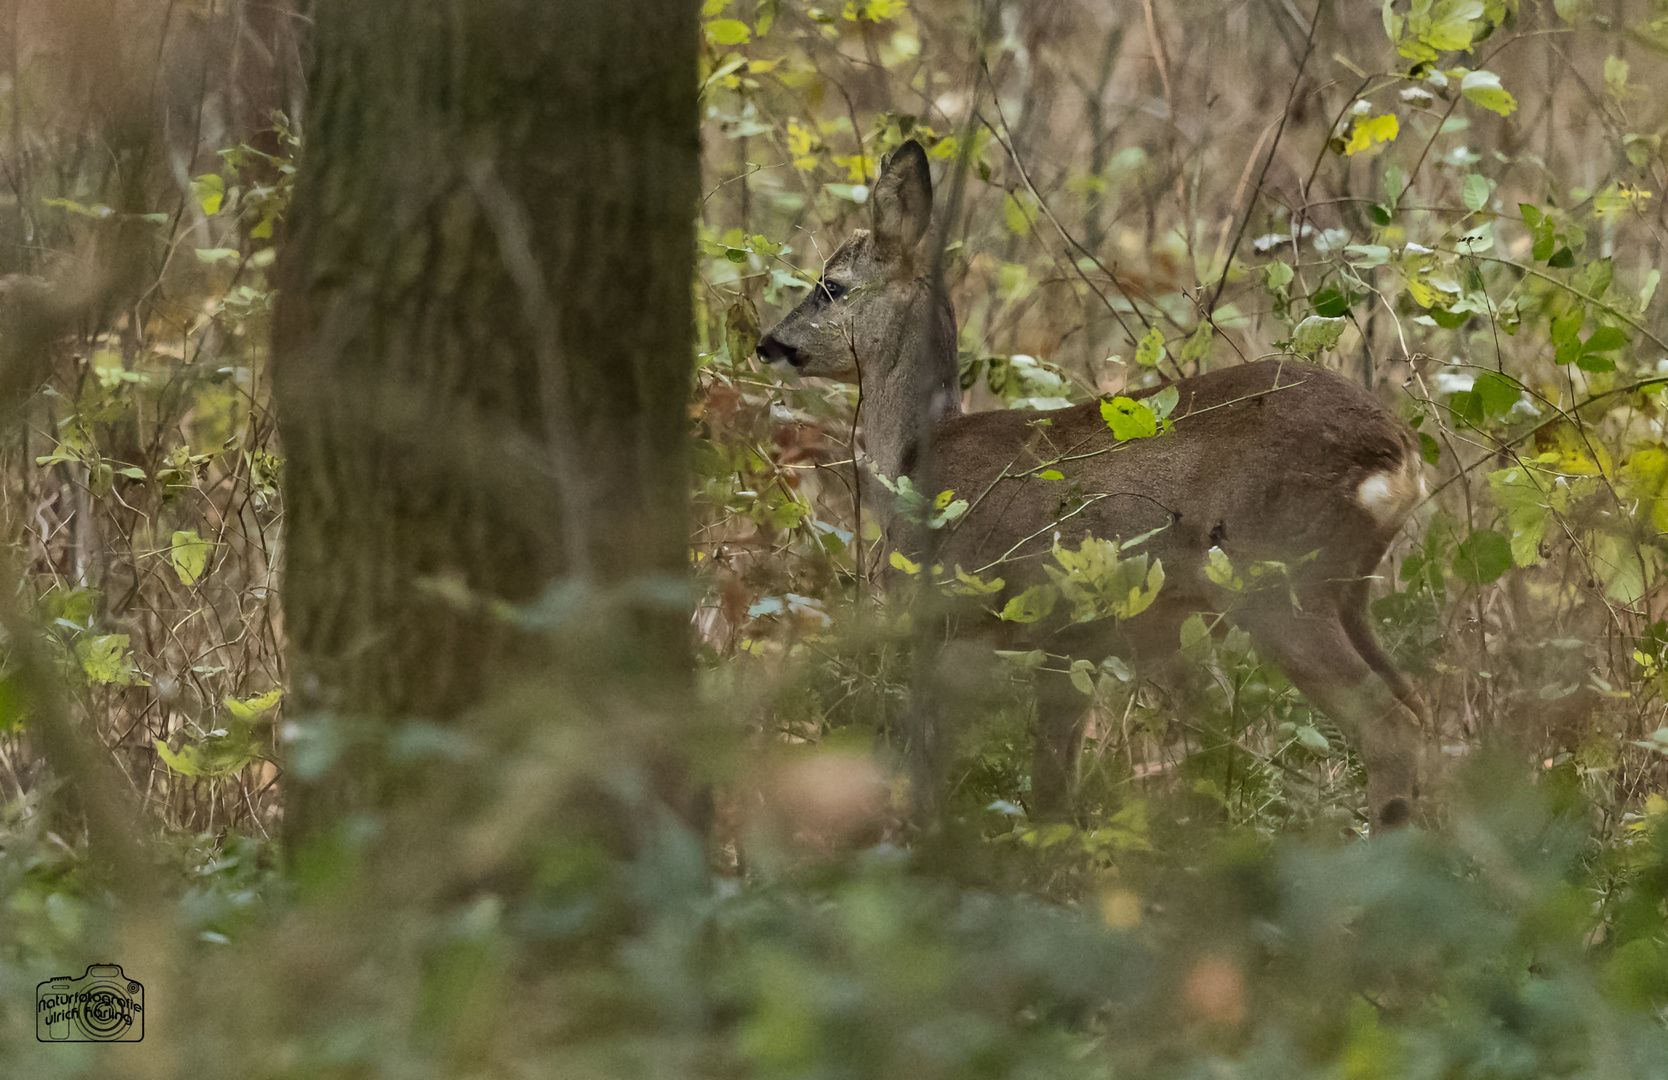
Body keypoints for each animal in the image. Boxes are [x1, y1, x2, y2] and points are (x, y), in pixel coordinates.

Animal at [757, 143, 1421, 831]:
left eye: (831, 285)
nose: (766, 343)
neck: (920, 459)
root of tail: (1398, 455)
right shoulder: (1069, 642)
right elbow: (1047, 782)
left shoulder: (971, 619)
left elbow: (965, 770)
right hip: (1348, 590)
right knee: (1418, 705)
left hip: (1279, 581)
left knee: (1389, 723)